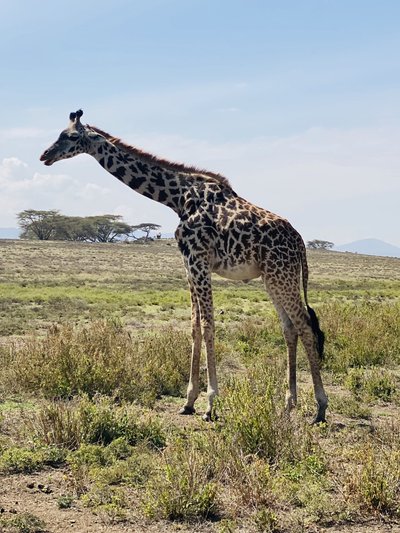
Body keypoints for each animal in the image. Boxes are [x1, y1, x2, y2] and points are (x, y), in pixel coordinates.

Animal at [40, 110, 328, 422]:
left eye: (69, 136)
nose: (44, 155)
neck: (176, 198)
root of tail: (300, 243)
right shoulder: (188, 265)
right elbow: (194, 327)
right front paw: (189, 401)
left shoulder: (199, 260)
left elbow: (208, 324)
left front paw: (211, 403)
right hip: (272, 277)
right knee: (289, 328)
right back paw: (289, 404)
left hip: (281, 274)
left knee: (305, 325)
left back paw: (320, 408)